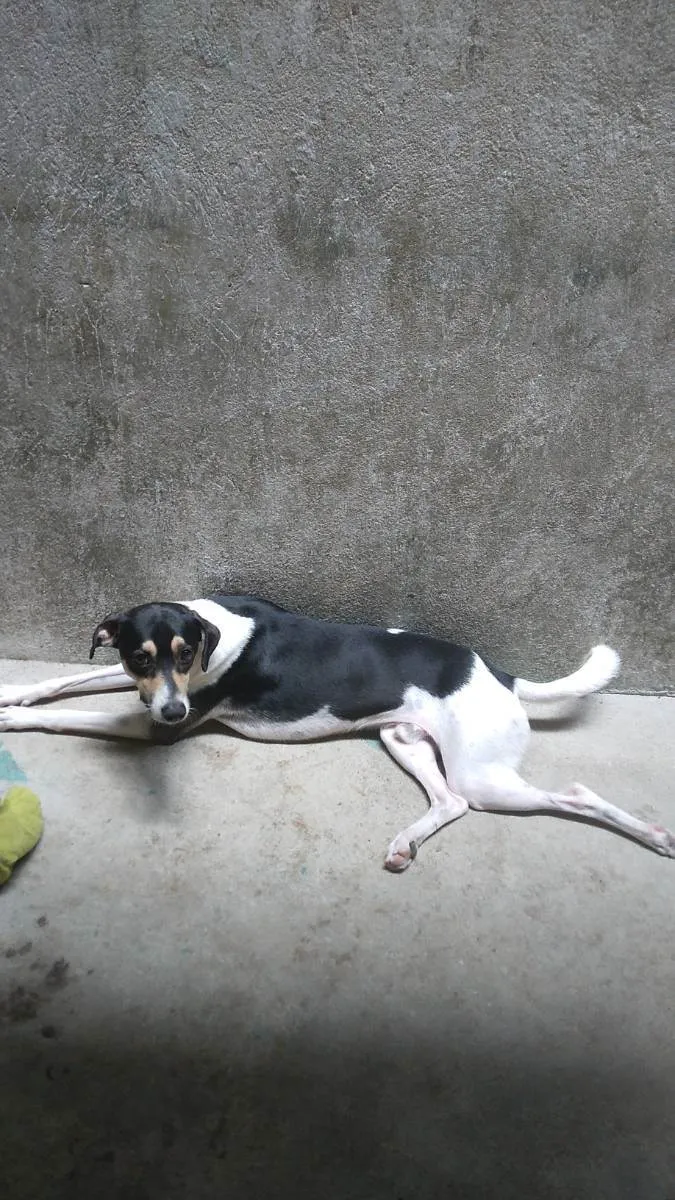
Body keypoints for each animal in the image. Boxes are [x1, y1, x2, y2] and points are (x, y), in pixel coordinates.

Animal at [0, 592, 667, 868]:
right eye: (140, 658)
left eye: (186, 654)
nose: (171, 714)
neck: (211, 628)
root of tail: (502, 675)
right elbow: (64, 683)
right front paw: (14, 692)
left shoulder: (165, 718)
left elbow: (68, 713)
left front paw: (16, 716)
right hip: (403, 740)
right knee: (449, 802)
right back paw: (405, 844)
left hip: (485, 775)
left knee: (574, 795)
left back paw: (657, 836)